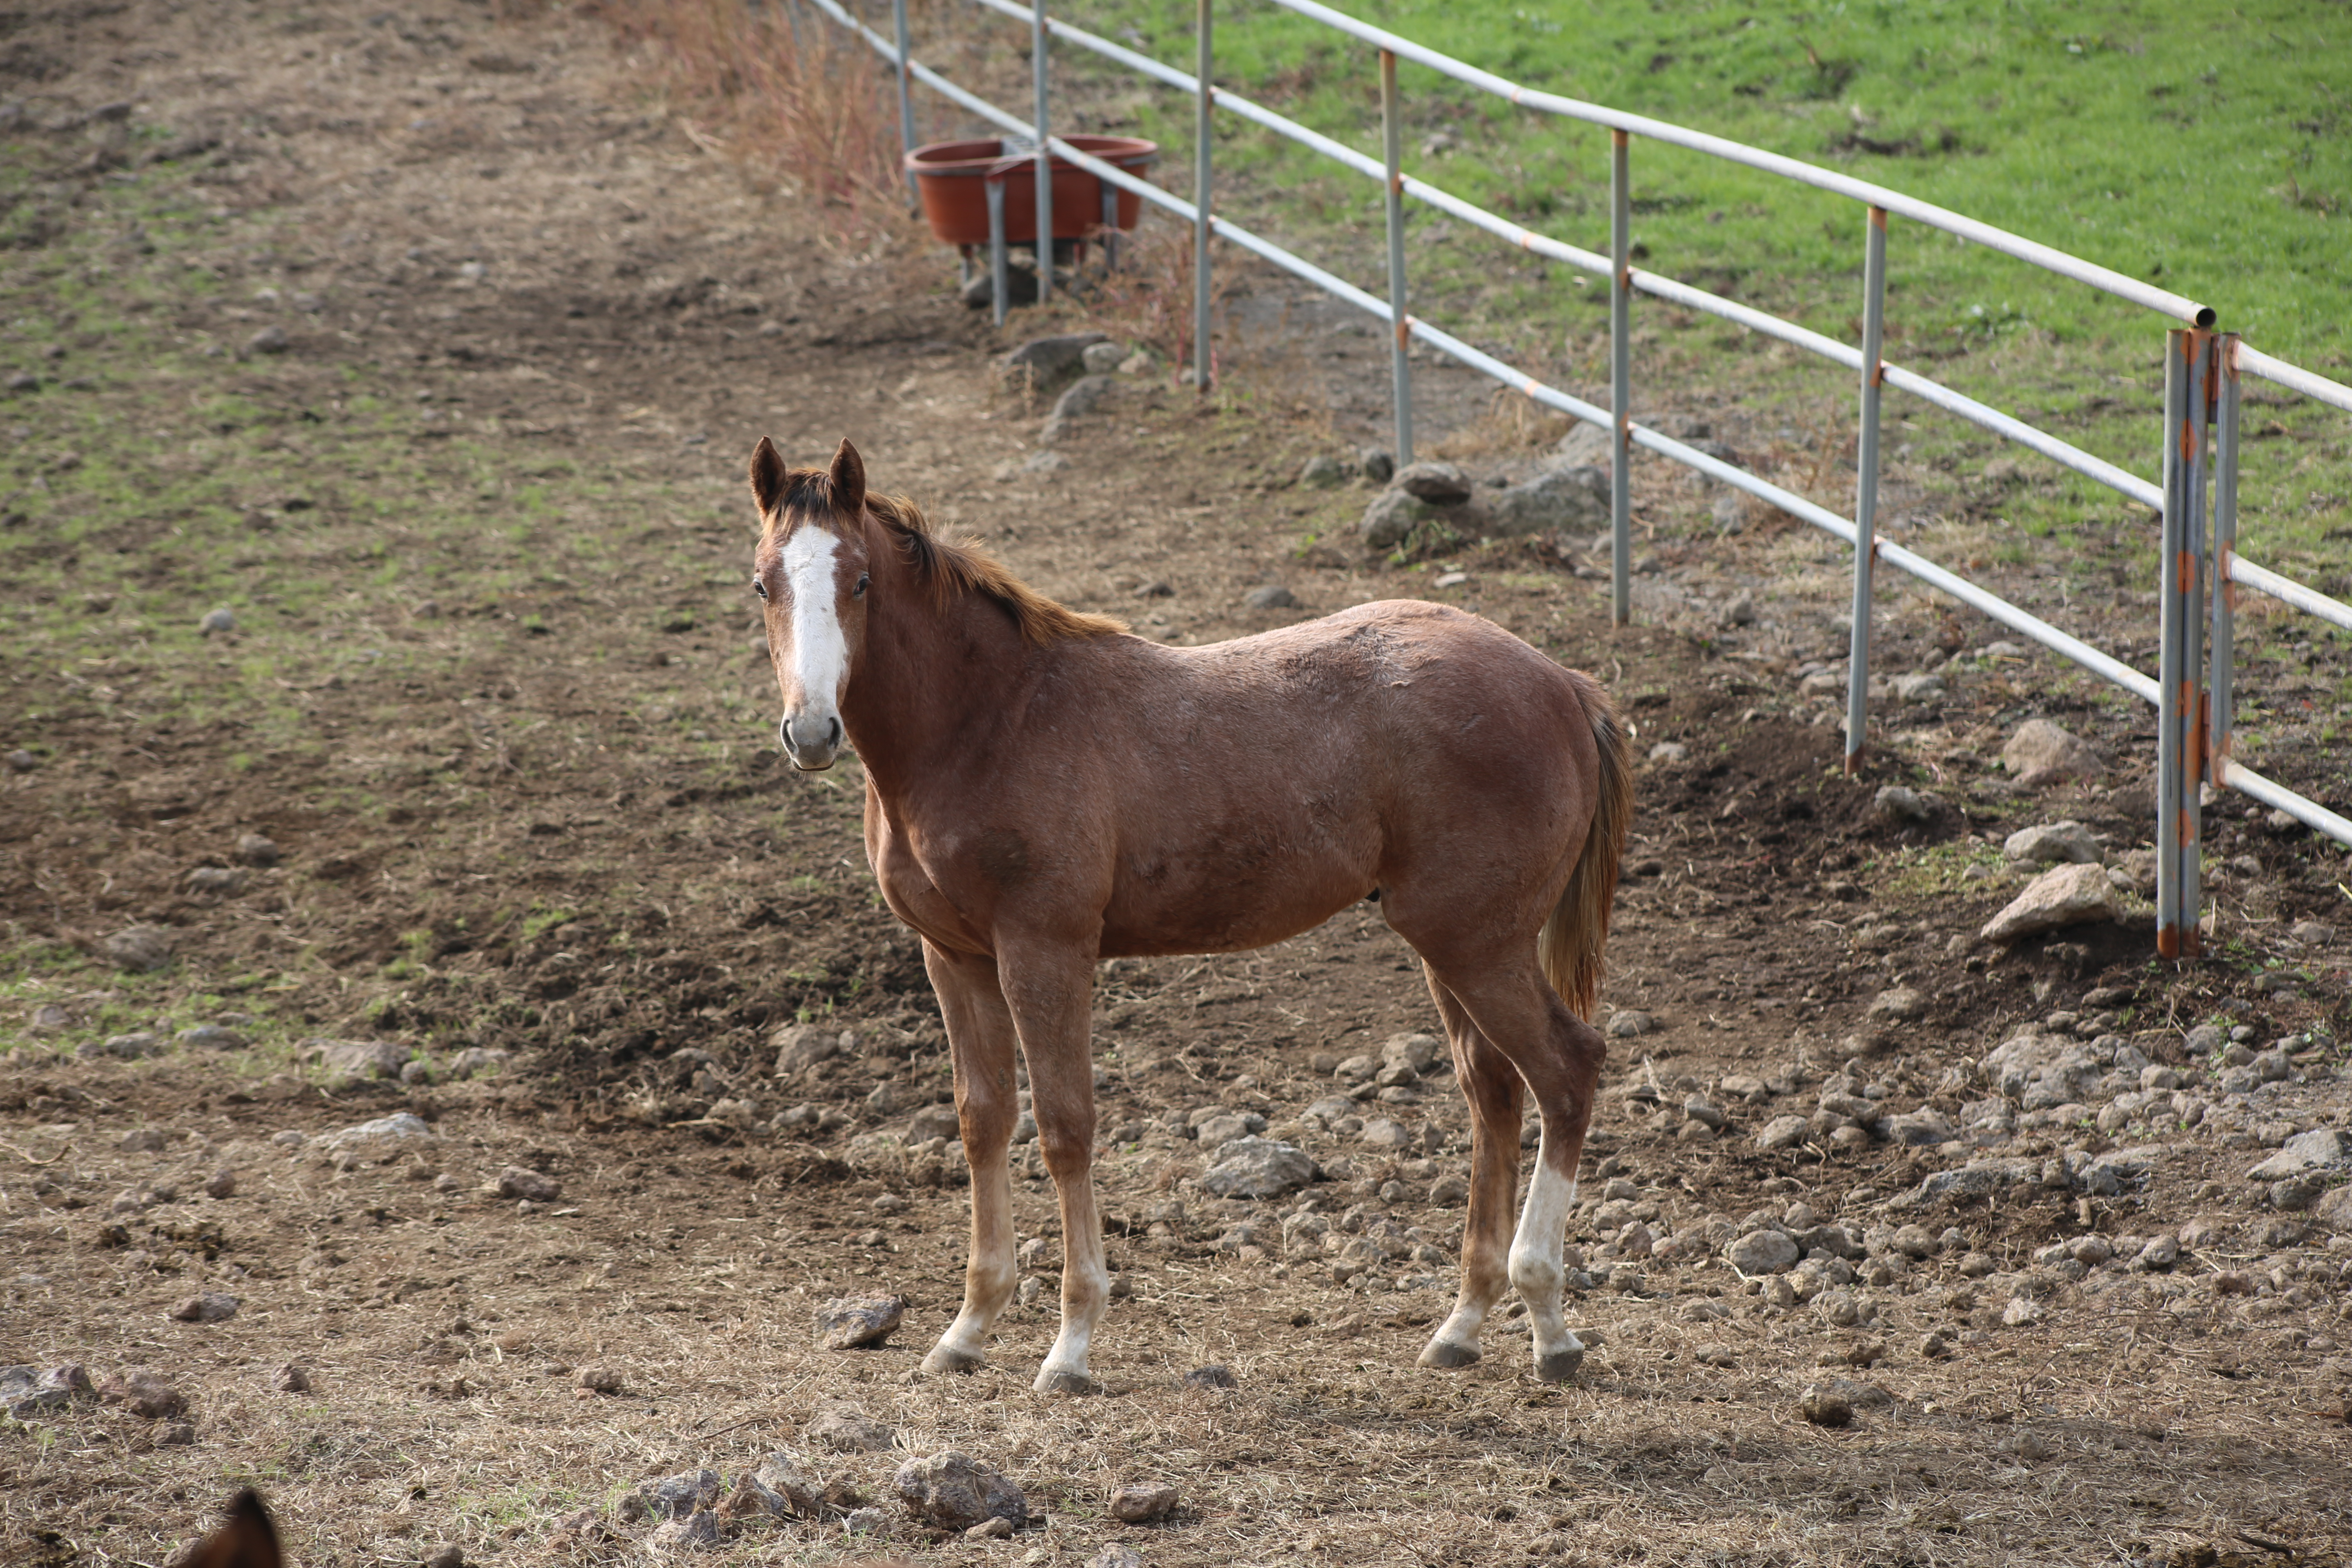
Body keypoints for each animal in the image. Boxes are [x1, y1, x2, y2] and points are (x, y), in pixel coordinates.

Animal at [757, 439, 1637, 1382]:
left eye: (858, 582)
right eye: (762, 583)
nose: (810, 733)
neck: (990, 721)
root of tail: (1564, 683)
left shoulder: (1045, 950)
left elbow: (1065, 1126)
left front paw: (1071, 1346)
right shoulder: (952, 957)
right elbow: (983, 1122)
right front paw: (966, 1331)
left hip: (1479, 942)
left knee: (1567, 1070)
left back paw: (1551, 1326)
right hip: (1451, 944)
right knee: (1495, 1091)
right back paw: (1462, 1327)